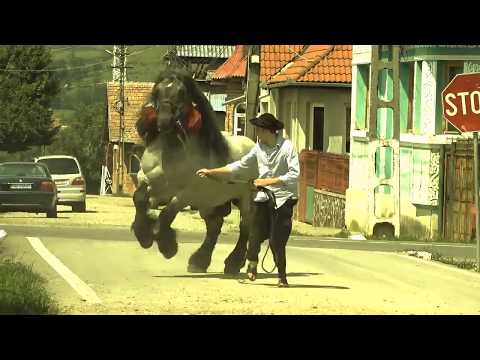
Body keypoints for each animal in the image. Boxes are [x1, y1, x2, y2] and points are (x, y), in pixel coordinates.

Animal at [131, 65, 256, 272]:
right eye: (157, 91)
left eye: (182, 93)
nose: (164, 121)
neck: (167, 157)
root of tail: (253, 145)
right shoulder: (147, 182)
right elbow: (139, 199)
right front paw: (144, 234)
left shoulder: (186, 194)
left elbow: (166, 214)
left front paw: (167, 246)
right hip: (210, 201)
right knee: (214, 226)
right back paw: (199, 262)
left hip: (244, 197)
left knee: (245, 225)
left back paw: (233, 263)